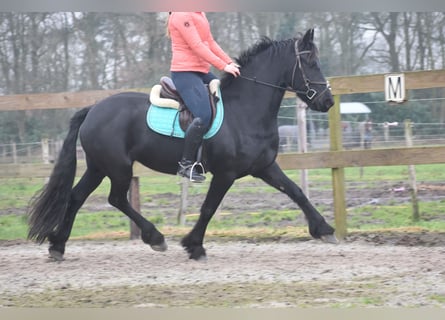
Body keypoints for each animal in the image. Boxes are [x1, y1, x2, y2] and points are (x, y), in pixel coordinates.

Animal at [27, 28, 334, 262]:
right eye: (311, 63)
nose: (328, 101)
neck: (245, 110)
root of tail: (93, 109)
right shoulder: (226, 174)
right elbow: (209, 208)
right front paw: (194, 246)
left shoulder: (265, 167)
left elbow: (295, 192)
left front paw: (324, 229)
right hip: (118, 167)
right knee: (116, 198)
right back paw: (155, 237)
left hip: (98, 167)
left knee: (76, 197)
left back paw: (57, 246)